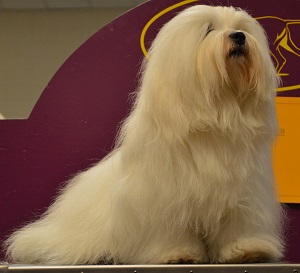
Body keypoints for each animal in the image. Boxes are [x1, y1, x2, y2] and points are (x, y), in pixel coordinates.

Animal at [5, 4, 286, 264]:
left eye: (241, 27)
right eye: (209, 29)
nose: (239, 36)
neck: (216, 116)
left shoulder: (243, 194)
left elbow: (239, 224)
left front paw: (247, 249)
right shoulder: (164, 199)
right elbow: (170, 231)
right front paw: (177, 253)